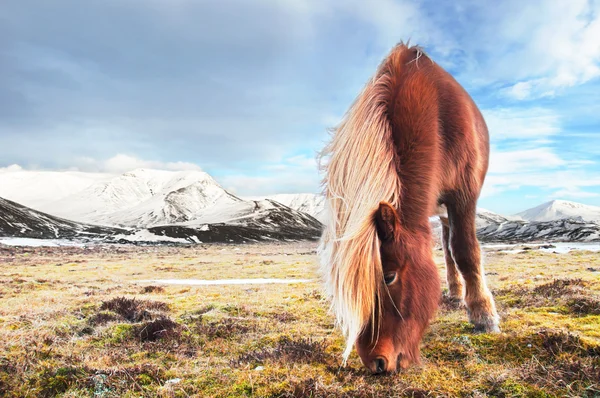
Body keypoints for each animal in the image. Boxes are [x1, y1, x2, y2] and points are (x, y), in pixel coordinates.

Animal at [322, 42, 500, 374]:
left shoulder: (464, 195)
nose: (376, 362)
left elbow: (466, 251)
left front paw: (484, 317)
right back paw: (455, 292)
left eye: (389, 276)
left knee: (452, 245)